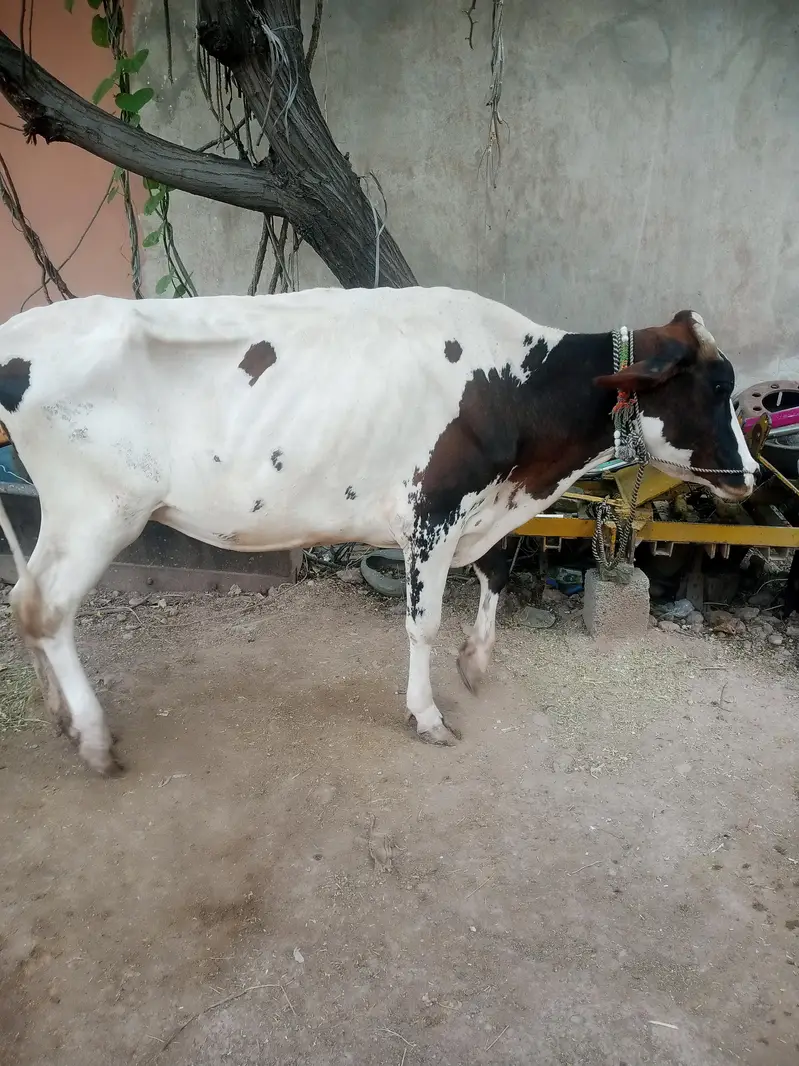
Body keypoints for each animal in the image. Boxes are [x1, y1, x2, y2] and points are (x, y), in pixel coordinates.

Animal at [0, 287, 756, 774]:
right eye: (716, 387)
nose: (751, 475)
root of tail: (21, 332)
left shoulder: (481, 508)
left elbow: (498, 571)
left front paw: (476, 662)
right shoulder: (433, 509)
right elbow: (423, 624)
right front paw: (426, 715)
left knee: (24, 599)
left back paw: (60, 714)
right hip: (101, 509)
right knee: (47, 608)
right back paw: (93, 736)